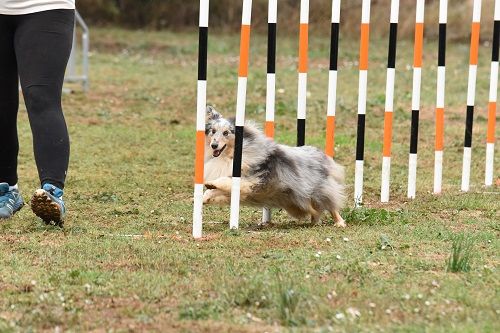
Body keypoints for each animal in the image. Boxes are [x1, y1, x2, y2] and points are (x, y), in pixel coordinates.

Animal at [201, 105, 346, 226]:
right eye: (213, 131)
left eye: (226, 133)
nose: (213, 145)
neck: (229, 157)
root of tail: (321, 155)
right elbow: (215, 191)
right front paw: (205, 197)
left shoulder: (251, 181)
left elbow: (224, 181)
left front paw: (210, 184)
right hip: (297, 201)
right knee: (316, 209)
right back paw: (314, 221)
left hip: (318, 190)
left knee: (331, 203)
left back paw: (339, 223)